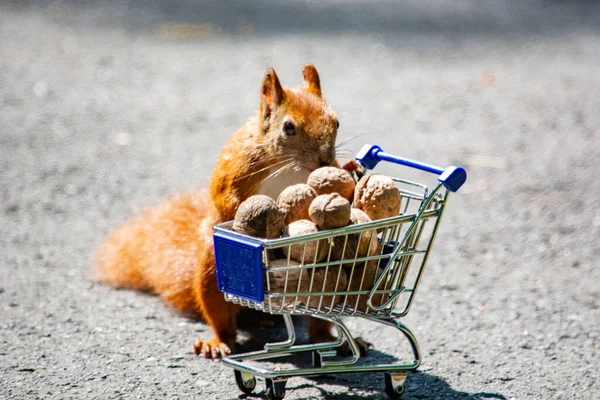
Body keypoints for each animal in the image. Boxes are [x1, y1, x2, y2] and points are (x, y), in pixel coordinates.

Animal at [94, 65, 368, 360]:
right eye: (288, 127)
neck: (290, 166)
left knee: (321, 319)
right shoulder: (237, 165)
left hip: (326, 280)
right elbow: (225, 200)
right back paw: (218, 342)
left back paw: (336, 340)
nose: (325, 159)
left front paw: (352, 168)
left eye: (336, 123)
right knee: (221, 318)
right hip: (212, 272)